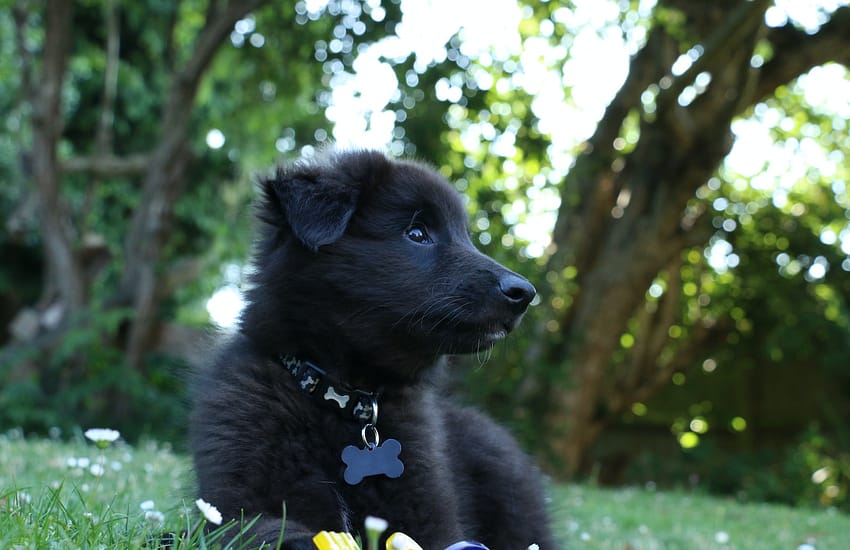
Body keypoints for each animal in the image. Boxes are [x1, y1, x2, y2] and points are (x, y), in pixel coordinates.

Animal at [189, 151, 552, 550]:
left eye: (466, 238)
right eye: (417, 233)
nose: (524, 293)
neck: (346, 402)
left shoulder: (433, 520)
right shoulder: (237, 504)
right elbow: (274, 531)